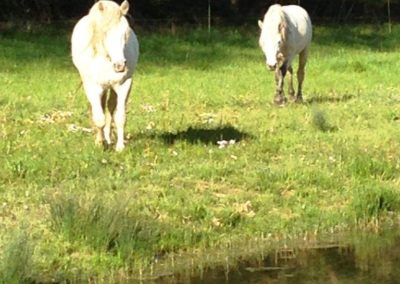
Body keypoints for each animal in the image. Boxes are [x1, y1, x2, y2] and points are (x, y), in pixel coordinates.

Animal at [71, 0, 139, 151]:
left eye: (125, 32)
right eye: (105, 32)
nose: (120, 65)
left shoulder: (124, 85)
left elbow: (120, 117)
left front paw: (119, 147)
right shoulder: (93, 87)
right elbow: (99, 118)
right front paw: (100, 143)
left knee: (110, 107)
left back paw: (108, 137)